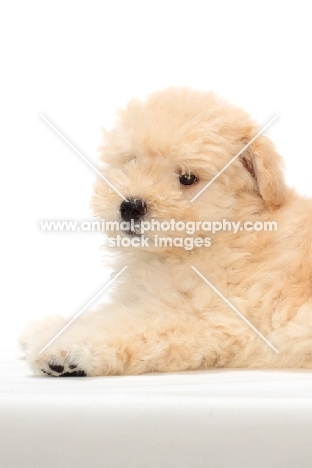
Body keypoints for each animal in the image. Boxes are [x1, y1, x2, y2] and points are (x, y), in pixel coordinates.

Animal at [20, 86, 312, 374]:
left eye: (187, 178)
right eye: (132, 160)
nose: (130, 206)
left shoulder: (211, 319)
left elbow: (127, 325)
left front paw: (64, 346)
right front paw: (48, 328)